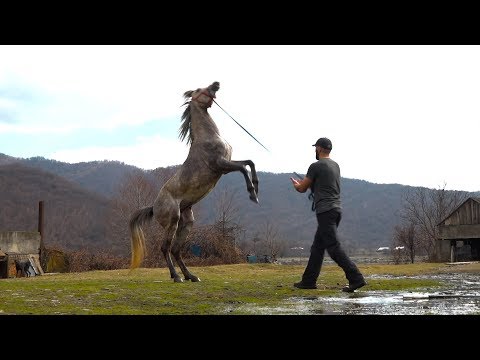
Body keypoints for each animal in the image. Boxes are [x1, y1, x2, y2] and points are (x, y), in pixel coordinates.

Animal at [129, 81, 258, 282]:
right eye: (198, 90)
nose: (216, 83)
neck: (208, 136)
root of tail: (153, 207)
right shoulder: (221, 165)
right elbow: (244, 168)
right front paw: (252, 194)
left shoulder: (227, 164)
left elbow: (249, 162)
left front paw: (257, 188)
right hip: (173, 222)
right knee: (165, 248)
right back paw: (176, 276)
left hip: (187, 222)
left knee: (176, 249)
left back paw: (190, 275)